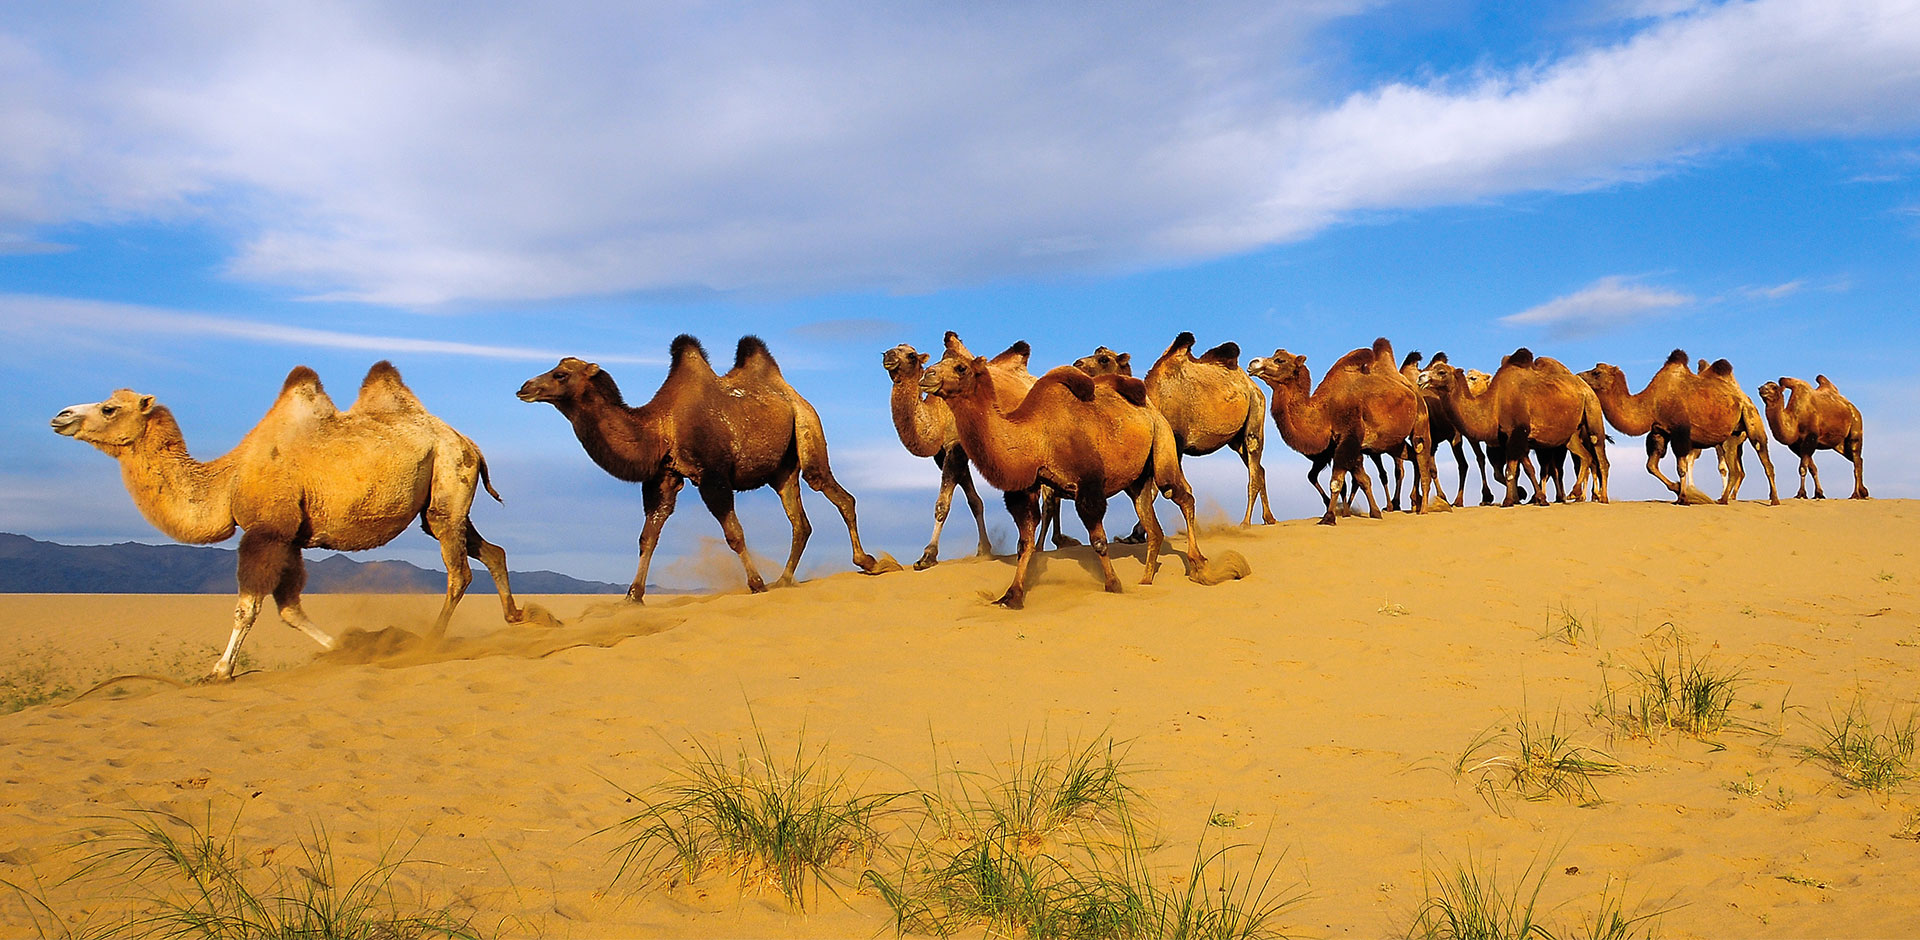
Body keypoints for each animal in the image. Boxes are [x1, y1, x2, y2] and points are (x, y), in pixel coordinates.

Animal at [53, 362, 533, 679]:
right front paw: (345, 648)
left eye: (110, 408)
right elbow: (288, 608)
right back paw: (516, 616)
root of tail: (468, 441)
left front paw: (220, 670)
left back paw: (430, 642)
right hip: (438, 502)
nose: (60, 415)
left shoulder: (267, 531)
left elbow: (248, 605)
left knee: (458, 571)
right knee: (489, 549)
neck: (228, 479)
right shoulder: (291, 539)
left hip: (448, 475)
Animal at [514, 337, 894, 602]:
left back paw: (869, 562)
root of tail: (792, 392)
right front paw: (632, 598)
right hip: (781, 470)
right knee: (801, 522)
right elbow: (648, 535)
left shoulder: (712, 475)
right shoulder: (664, 477)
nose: (524, 388)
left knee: (835, 492)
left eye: (560, 374)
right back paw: (784, 580)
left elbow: (734, 533)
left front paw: (756, 584)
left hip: (808, 429)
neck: (660, 425)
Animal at [913, 349, 1244, 606]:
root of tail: (1150, 407)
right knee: (1152, 523)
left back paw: (1199, 565)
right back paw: (1146, 579)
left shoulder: (1088, 486)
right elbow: (1025, 542)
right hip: (1136, 480)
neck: (1037, 436)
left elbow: (1098, 541)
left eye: (961, 367)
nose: (927, 375)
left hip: (1163, 447)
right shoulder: (1026, 489)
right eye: (938, 361)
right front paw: (1012, 595)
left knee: (1180, 494)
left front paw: (1113, 584)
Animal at [1075, 333, 1282, 533]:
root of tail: (1252, 384)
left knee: (1254, 466)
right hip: (1236, 440)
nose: (1077, 363)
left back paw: (1246, 523)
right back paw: (1269, 518)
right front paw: (1134, 536)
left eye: (1103, 359)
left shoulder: (1176, 440)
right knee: (1259, 469)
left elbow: (1167, 488)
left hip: (1255, 412)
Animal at [1428, 349, 1605, 506]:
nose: (1423, 378)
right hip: (1570, 434)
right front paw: (1535, 498)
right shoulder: (1513, 439)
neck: (1495, 402)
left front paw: (1510, 500)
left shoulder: (1517, 433)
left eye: (1441, 372)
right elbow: (1526, 468)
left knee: (1599, 455)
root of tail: (1584, 386)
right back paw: (1574, 492)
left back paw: (1599, 497)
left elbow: (1511, 470)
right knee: (1585, 456)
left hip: (1592, 409)